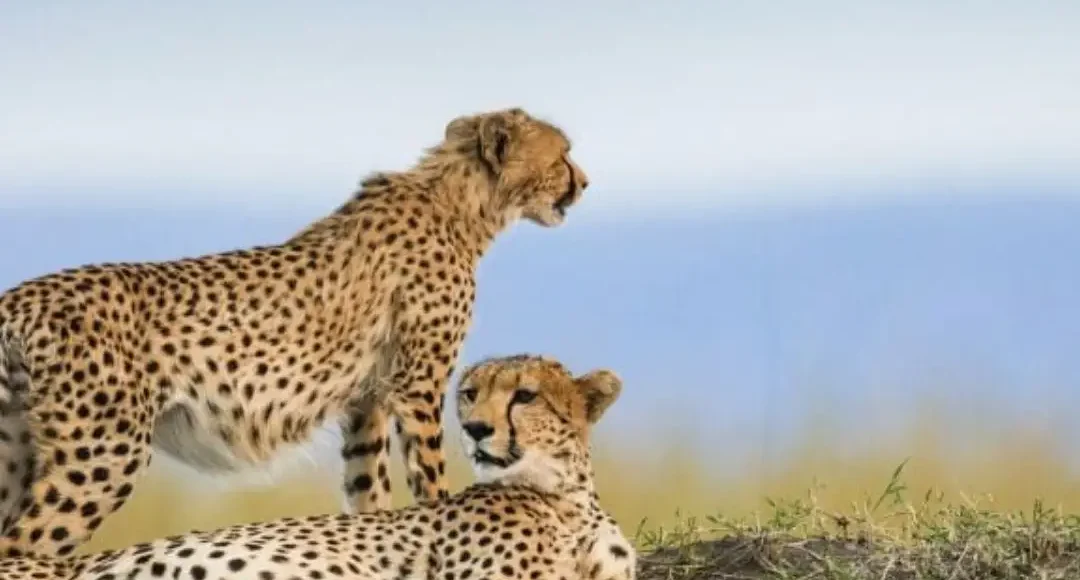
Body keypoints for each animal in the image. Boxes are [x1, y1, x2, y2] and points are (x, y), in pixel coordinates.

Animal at [0, 106, 590, 558]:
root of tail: (21, 294)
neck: (462, 204)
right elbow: (432, 483)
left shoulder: (367, 401)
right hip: (104, 452)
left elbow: (368, 492)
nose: (583, 183)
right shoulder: (417, 388)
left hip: (21, 449)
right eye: (561, 154)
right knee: (24, 545)